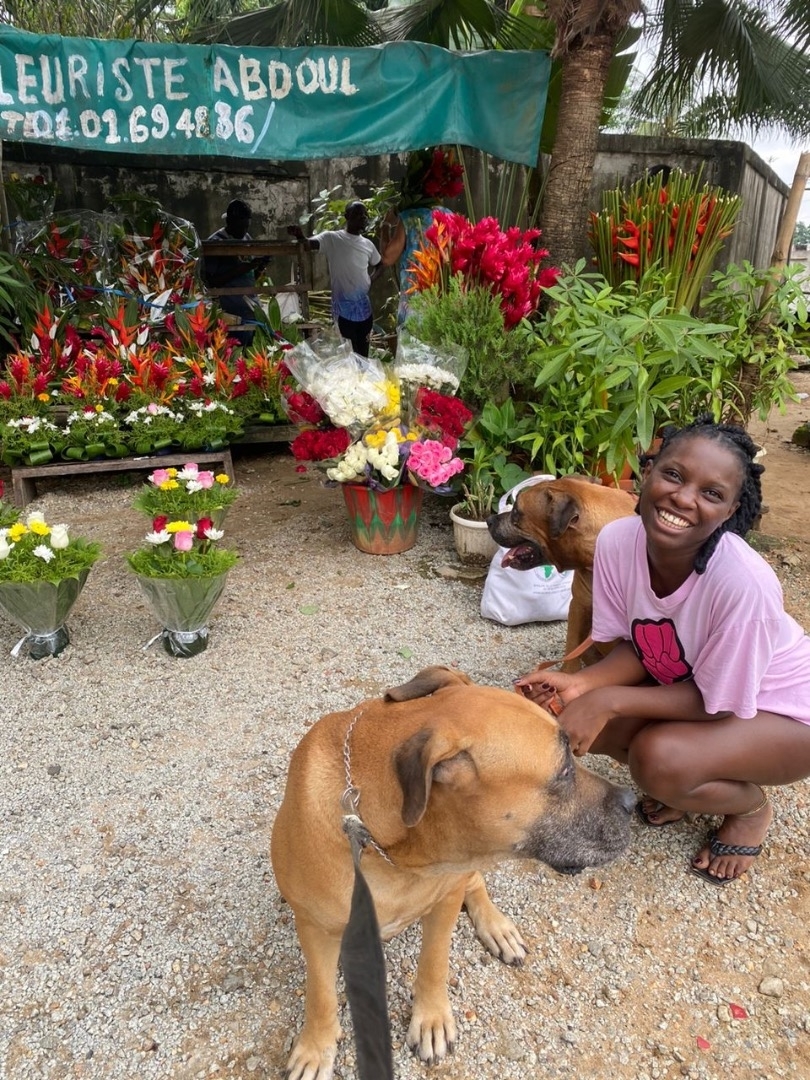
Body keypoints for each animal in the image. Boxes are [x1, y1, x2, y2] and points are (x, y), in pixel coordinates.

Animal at [271, 666, 634, 1079]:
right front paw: (316, 1048)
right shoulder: (315, 928)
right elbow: (320, 992)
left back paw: (497, 927)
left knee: (476, 884)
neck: (388, 849)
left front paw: (430, 1019)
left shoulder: (445, 897)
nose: (631, 802)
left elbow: (434, 961)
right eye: (564, 769)